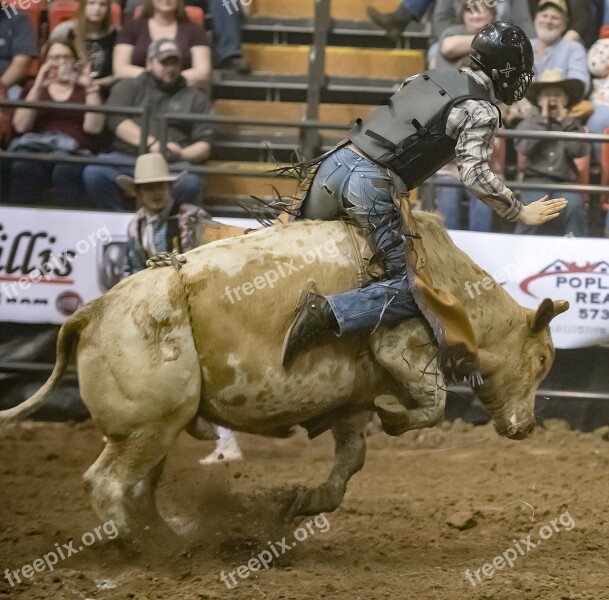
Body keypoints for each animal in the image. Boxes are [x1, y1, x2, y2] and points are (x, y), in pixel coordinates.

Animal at [0, 214, 568, 540]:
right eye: (542, 360)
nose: (527, 427)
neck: (443, 281)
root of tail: (93, 311)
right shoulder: (399, 347)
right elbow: (431, 407)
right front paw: (394, 420)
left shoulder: (351, 397)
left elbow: (352, 457)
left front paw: (305, 501)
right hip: (146, 427)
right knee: (108, 482)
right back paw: (135, 546)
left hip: (155, 430)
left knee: (138, 486)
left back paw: (165, 537)